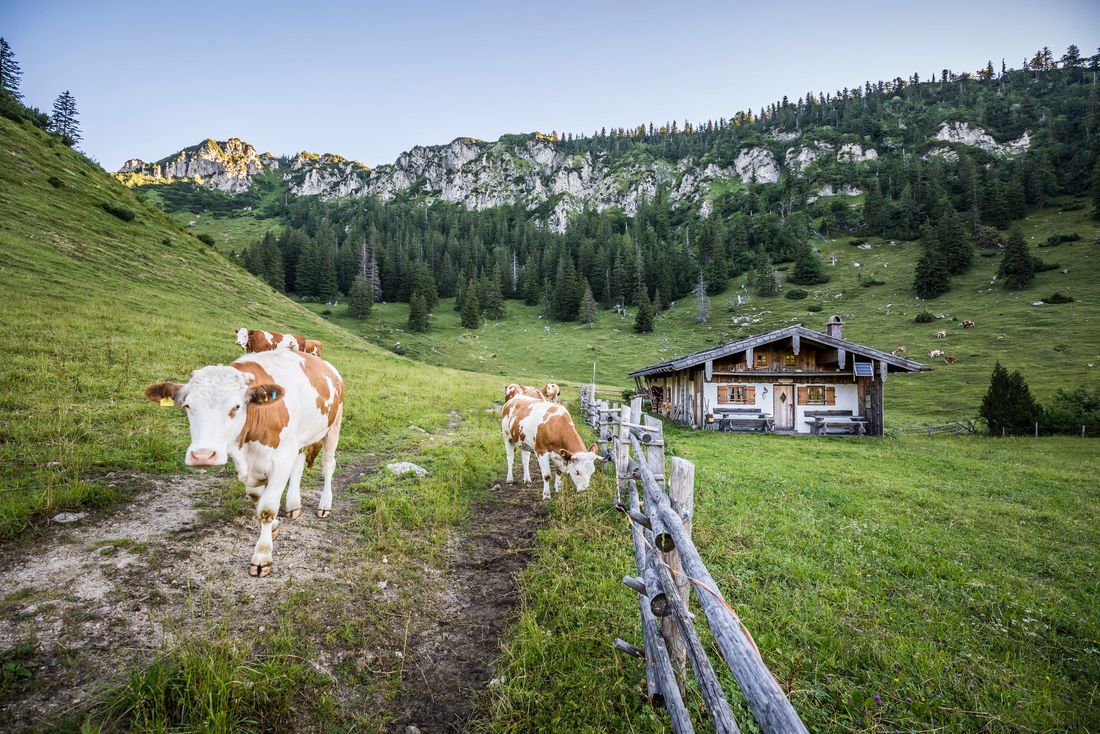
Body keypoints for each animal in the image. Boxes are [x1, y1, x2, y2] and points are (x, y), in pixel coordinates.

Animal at [145, 349, 344, 577]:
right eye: (187, 405)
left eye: (236, 406)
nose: (202, 455)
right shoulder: (254, 466)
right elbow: (256, 497)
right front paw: (274, 526)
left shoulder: (281, 460)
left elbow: (267, 508)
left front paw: (262, 556)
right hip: (301, 438)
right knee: (299, 463)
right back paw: (294, 505)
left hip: (334, 426)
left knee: (328, 465)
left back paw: (325, 505)